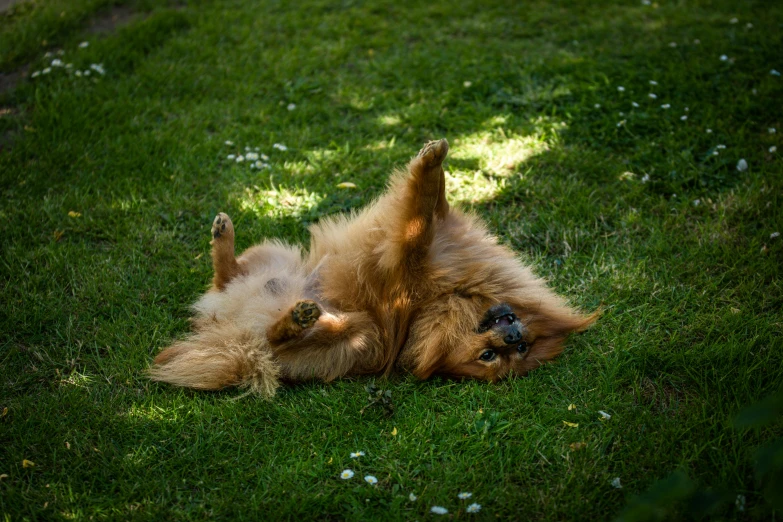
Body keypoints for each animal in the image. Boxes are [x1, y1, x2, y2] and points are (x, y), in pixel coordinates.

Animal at [150, 138, 596, 394]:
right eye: (497, 353)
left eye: (510, 353)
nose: (514, 336)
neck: (436, 303)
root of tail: (227, 324)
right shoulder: (442, 239)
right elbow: (432, 204)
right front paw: (434, 159)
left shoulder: (409, 265)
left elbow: (416, 223)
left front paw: (427, 166)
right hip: (276, 256)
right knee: (227, 273)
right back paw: (224, 239)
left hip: (352, 337)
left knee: (281, 339)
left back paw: (296, 319)